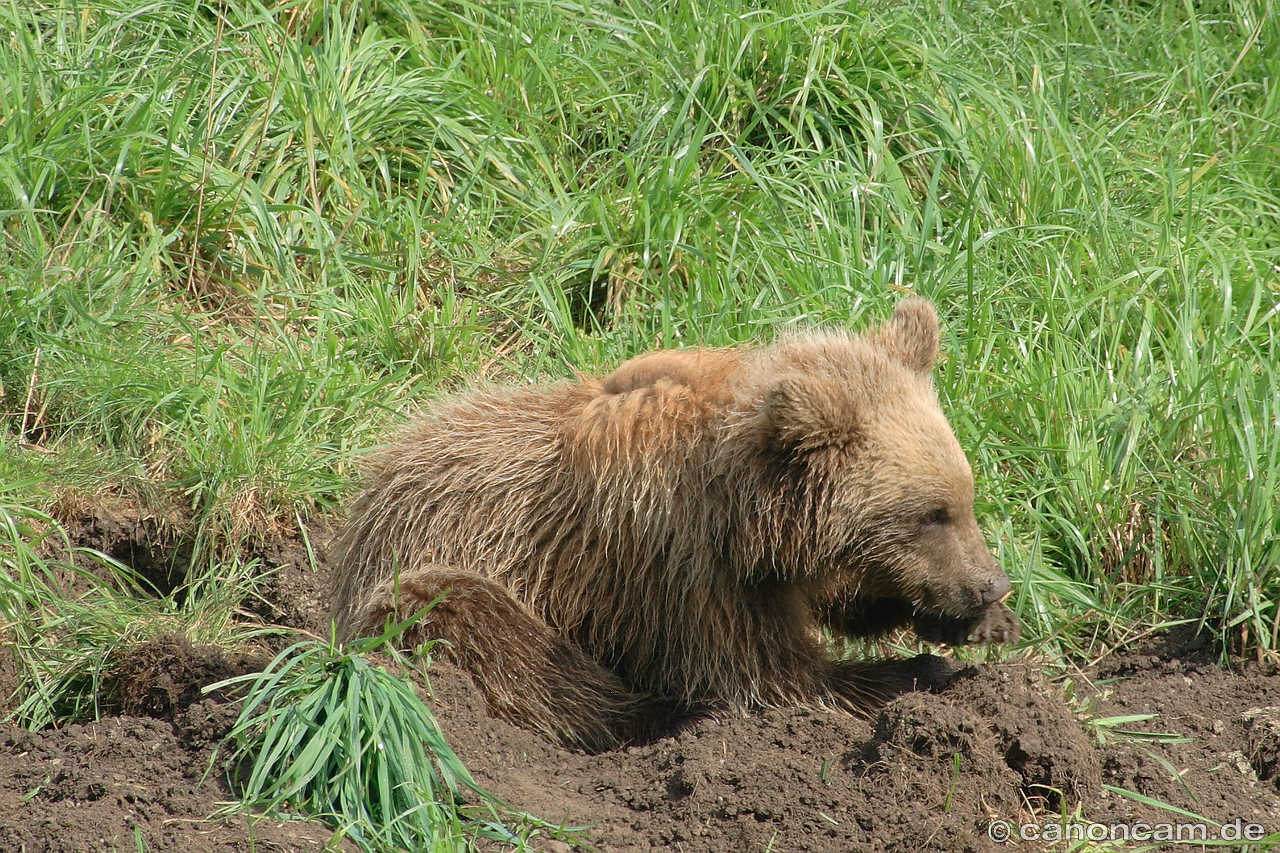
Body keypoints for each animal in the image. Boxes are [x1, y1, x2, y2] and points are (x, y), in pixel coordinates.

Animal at [330, 298, 1018, 753]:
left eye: (965, 498)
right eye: (930, 514)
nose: (992, 584)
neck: (739, 515)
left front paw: (971, 625)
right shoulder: (672, 566)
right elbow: (765, 677)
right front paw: (913, 674)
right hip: (430, 575)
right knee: (494, 635)